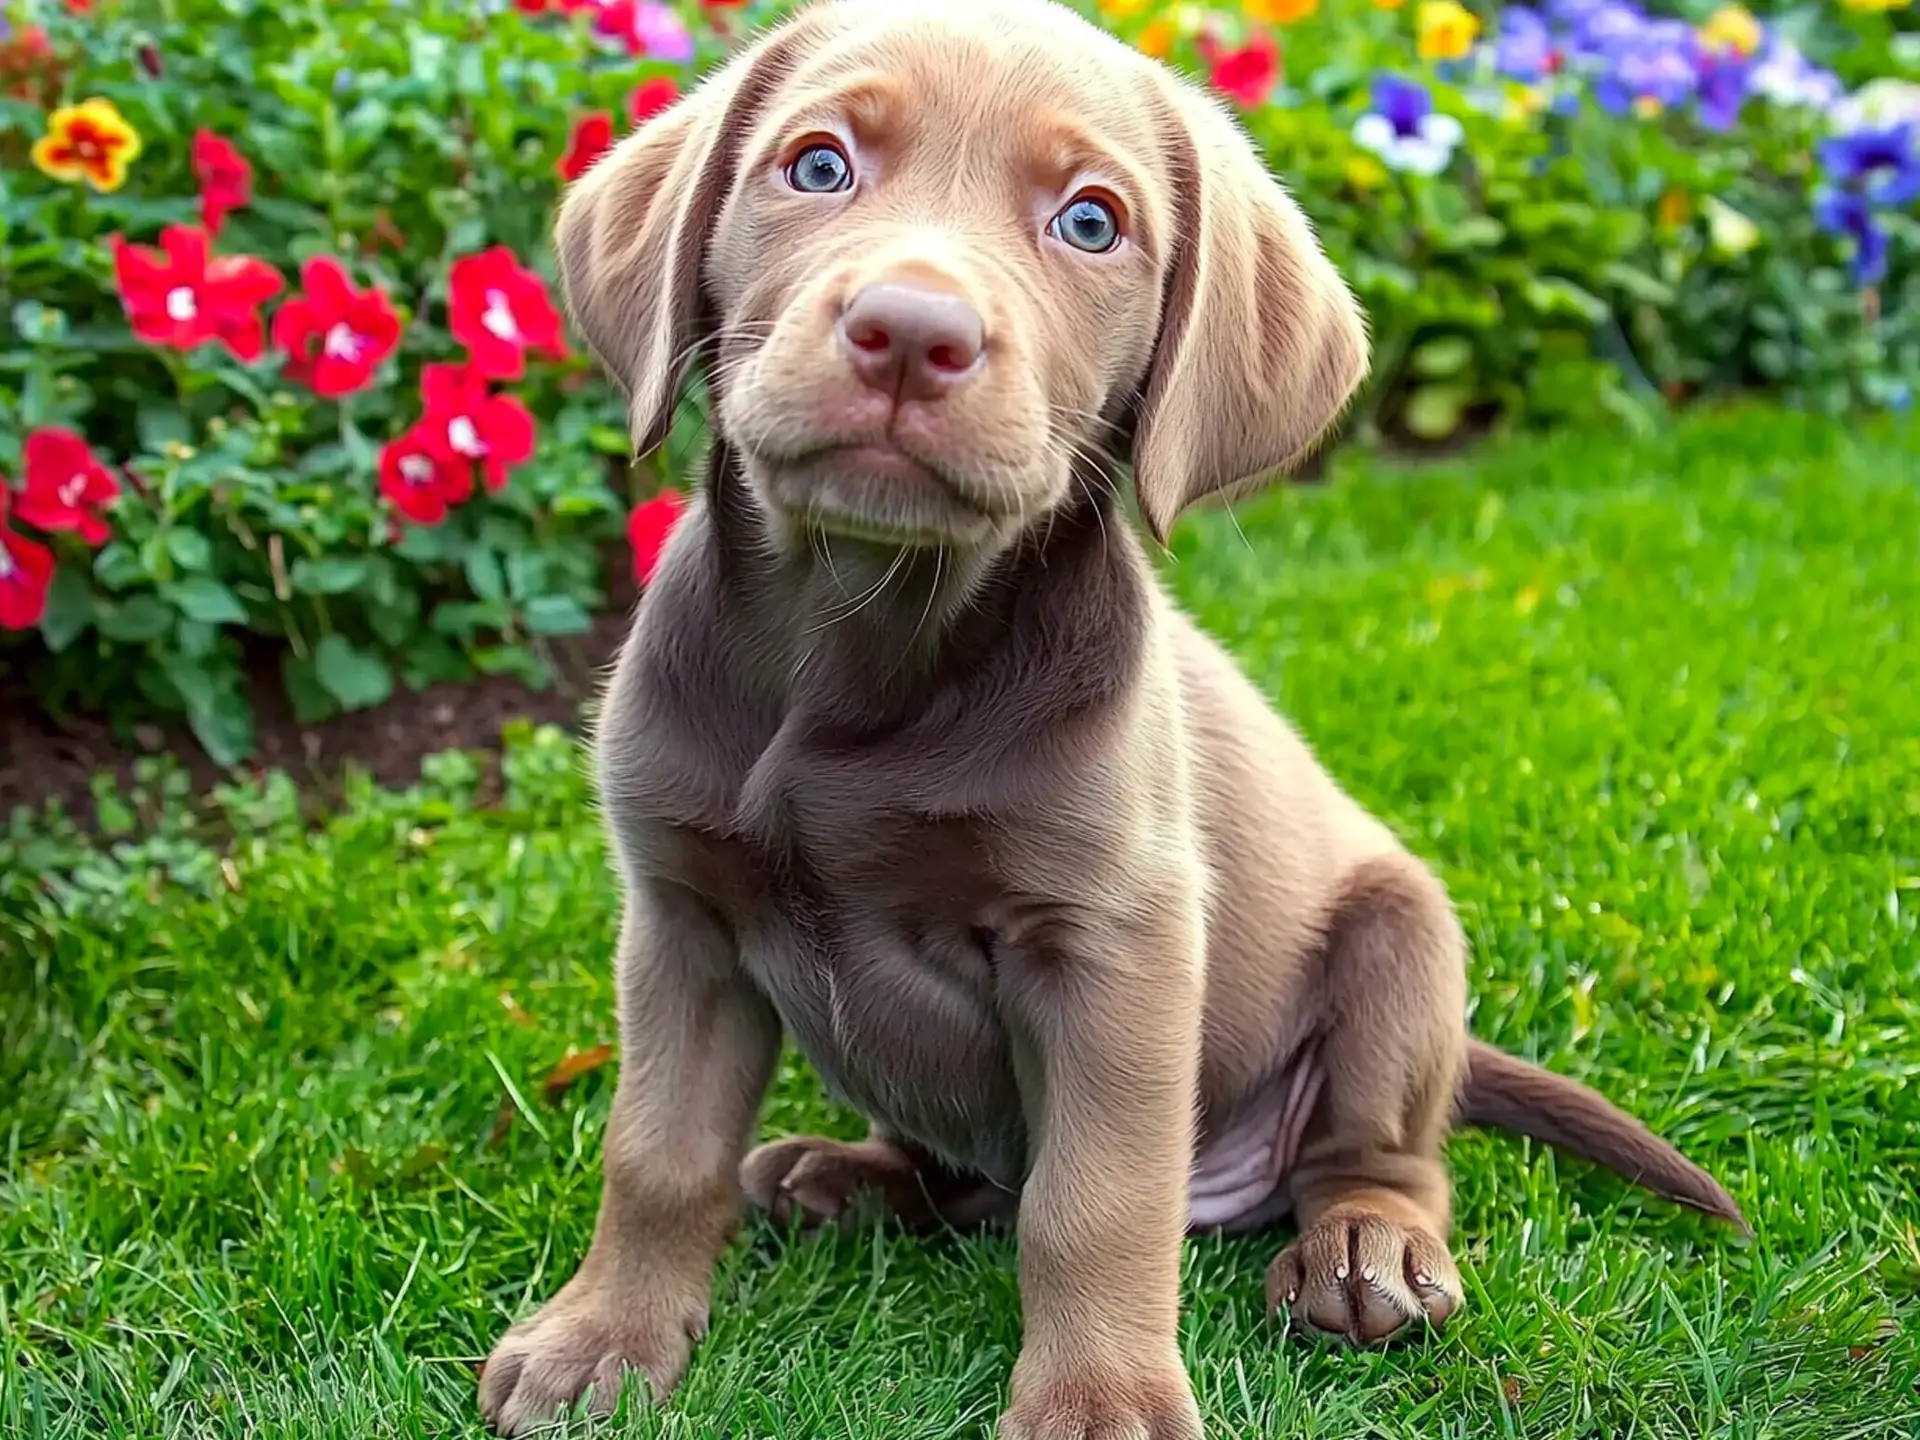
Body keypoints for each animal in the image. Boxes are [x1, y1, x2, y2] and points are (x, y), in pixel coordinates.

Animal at [476, 5, 1743, 1436]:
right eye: (817, 166)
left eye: (1091, 222)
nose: (909, 332)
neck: (860, 644)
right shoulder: (682, 918)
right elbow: (656, 1154)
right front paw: (602, 1338)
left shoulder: (1115, 946)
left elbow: (1092, 1203)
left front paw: (1099, 1399)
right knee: (967, 1181)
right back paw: (847, 1177)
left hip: (1401, 940)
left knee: (1380, 1157)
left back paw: (1364, 1251)